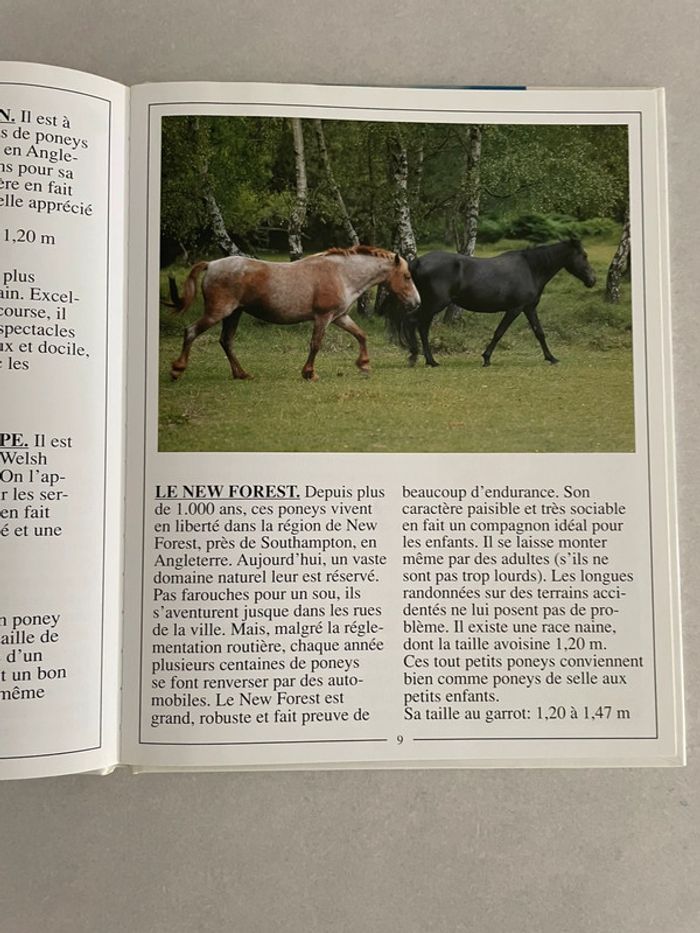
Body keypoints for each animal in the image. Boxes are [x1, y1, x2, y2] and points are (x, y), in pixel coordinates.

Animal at [170, 246, 420, 382]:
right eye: (407, 276)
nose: (417, 303)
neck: (341, 274)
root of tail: (211, 264)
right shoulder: (323, 317)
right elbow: (315, 344)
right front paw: (309, 373)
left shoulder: (339, 317)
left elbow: (361, 335)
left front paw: (364, 364)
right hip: (218, 312)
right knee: (191, 332)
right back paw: (177, 370)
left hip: (234, 314)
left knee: (226, 341)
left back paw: (242, 374)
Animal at [392, 238, 596, 368]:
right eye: (584, 256)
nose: (592, 280)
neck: (531, 268)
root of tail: (417, 262)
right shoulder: (515, 309)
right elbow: (499, 332)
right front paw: (486, 358)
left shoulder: (529, 308)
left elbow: (539, 333)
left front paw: (551, 358)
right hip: (434, 304)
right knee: (415, 324)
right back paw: (419, 357)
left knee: (421, 327)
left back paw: (429, 360)